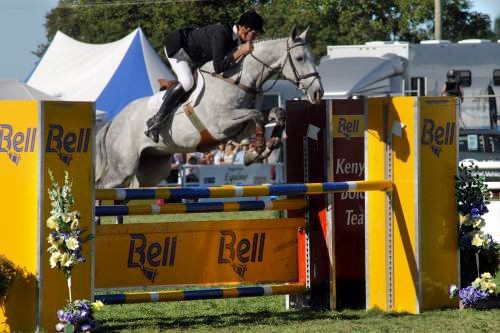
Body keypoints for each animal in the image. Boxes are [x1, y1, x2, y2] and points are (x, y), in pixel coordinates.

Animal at [96, 27, 324, 188]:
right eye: (299, 58)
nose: (318, 93)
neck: (239, 79)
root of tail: (113, 122)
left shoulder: (242, 128)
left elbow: (277, 113)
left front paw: (268, 145)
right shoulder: (222, 125)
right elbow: (257, 115)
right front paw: (256, 151)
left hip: (151, 168)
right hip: (122, 167)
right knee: (102, 187)